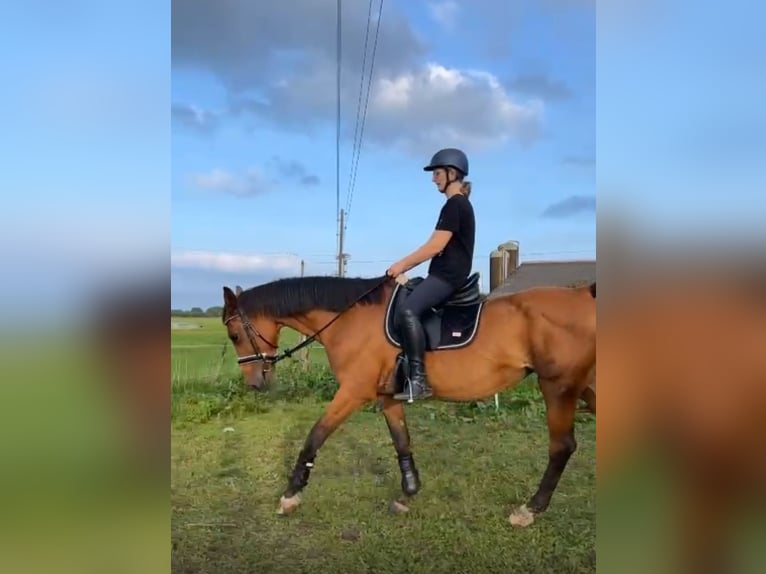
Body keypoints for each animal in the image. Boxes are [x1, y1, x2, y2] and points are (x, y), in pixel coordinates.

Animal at [219, 274, 596, 528]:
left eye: (234, 335)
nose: (255, 383)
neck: (350, 319)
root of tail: (584, 294)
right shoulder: (388, 397)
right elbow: (401, 441)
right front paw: (408, 494)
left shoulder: (352, 393)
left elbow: (315, 437)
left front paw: (290, 496)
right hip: (586, 387)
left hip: (558, 386)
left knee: (562, 446)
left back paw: (529, 510)